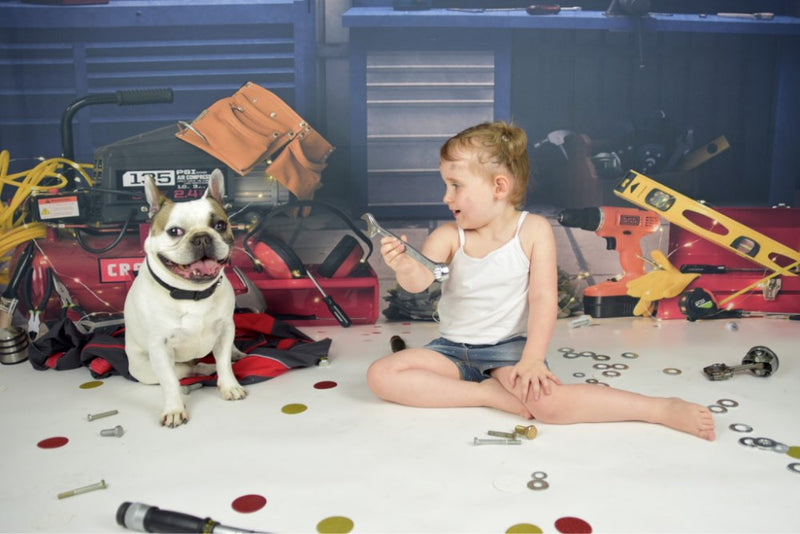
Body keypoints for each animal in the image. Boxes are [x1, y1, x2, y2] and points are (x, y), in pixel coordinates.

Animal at [122, 170, 244, 430]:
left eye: (220, 225)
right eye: (174, 231)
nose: (202, 237)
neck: (192, 293)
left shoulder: (225, 329)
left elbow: (224, 363)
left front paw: (229, 386)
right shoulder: (160, 347)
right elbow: (169, 381)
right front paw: (174, 409)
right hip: (145, 369)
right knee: (186, 371)